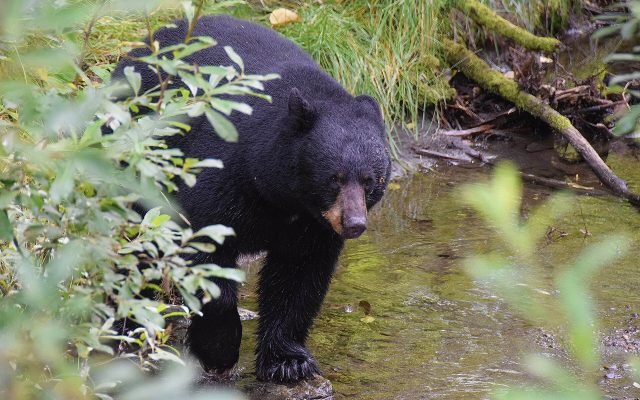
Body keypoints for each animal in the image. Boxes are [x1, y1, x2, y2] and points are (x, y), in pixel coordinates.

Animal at [111, 15, 391, 383]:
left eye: (371, 180)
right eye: (335, 178)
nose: (354, 224)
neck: (283, 197)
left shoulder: (312, 225)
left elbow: (298, 276)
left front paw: (288, 362)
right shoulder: (221, 170)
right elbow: (205, 248)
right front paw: (219, 349)